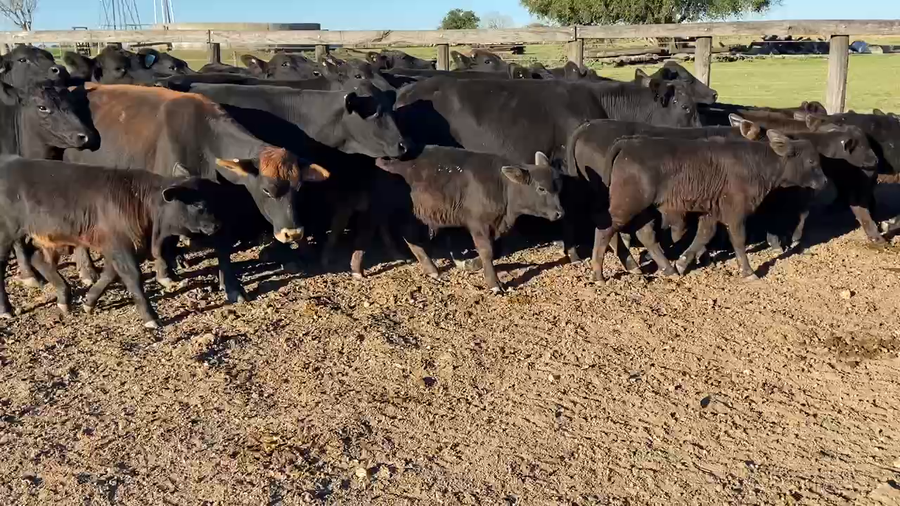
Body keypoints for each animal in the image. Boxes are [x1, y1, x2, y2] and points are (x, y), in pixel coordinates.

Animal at [0, 156, 220, 328]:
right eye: (198, 205)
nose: (217, 225)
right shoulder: (121, 246)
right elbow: (132, 277)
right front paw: (151, 318)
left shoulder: (117, 247)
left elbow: (109, 275)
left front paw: (89, 302)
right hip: (7, 234)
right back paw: (6, 309)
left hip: (51, 238)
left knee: (38, 258)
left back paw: (64, 297)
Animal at [62, 84, 330, 302]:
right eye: (267, 189)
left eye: (299, 187)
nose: (293, 233)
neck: (204, 143)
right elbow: (163, 239)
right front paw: (164, 273)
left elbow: (222, 245)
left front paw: (232, 286)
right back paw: (86, 269)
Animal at [374, 147, 564, 292]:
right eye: (541, 188)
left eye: (558, 187)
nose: (560, 213)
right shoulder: (478, 223)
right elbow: (487, 251)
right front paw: (494, 283)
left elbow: (493, 250)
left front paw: (469, 263)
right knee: (405, 235)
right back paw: (430, 268)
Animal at [590, 132, 826, 283]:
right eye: (812, 161)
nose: (824, 182)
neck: (755, 163)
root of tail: (629, 143)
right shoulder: (736, 213)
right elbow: (738, 240)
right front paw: (748, 271)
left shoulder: (711, 212)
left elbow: (703, 236)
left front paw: (682, 263)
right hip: (627, 205)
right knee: (605, 230)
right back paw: (599, 275)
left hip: (644, 209)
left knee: (644, 234)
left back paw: (667, 269)